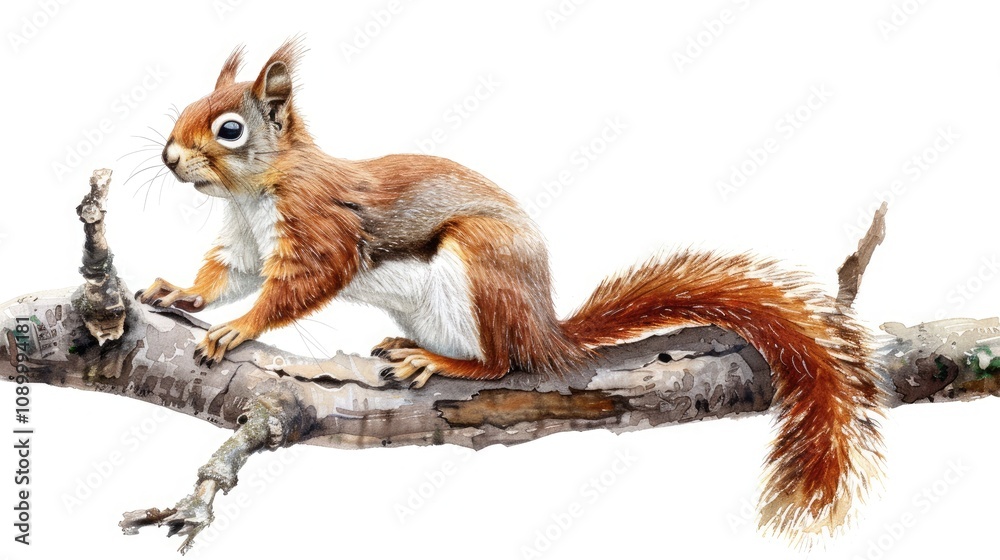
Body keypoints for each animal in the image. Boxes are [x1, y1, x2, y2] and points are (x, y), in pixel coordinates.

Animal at [139, 41, 884, 540]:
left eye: (230, 128)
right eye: (185, 109)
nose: (169, 157)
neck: (258, 190)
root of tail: (545, 327)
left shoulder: (320, 227)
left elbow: (296, 288)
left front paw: (240, 329)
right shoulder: (244, 242)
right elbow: (226, 276)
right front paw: (179, 294)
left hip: (480, 270)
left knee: (501, 364)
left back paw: (436, 361)